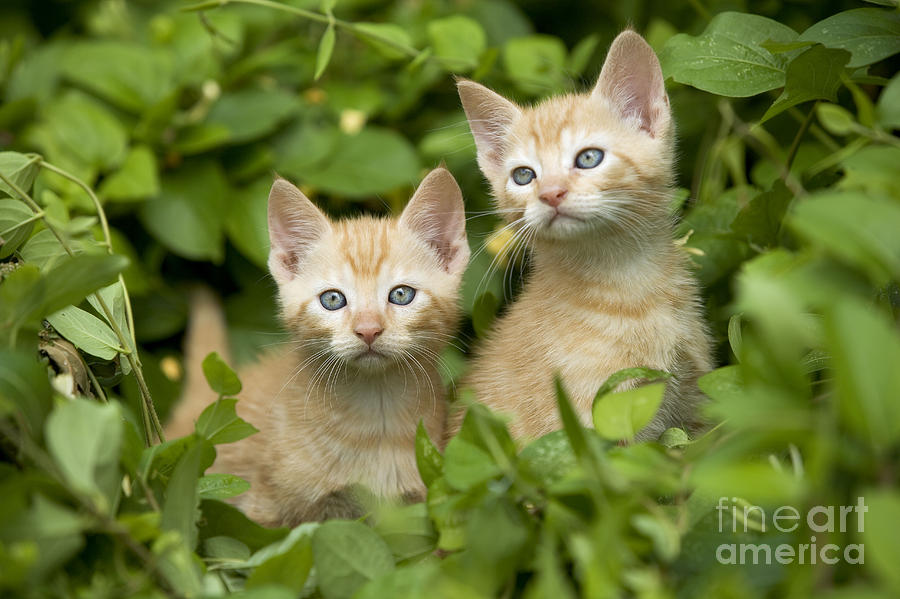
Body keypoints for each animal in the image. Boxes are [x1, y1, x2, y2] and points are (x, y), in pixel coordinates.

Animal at [454, 31, 712, 446]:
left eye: (589, 158)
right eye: (524, 176)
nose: (551, 194)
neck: (627, 284)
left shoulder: (695, 399)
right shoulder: (595, 428)